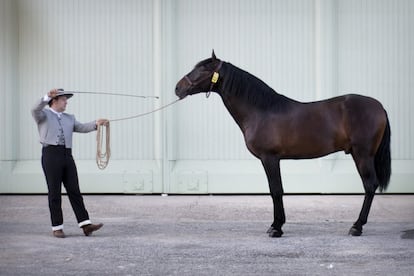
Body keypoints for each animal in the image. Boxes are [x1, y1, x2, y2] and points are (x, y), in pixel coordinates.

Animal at [175, 51, 392, 237]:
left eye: (203, 69)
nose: (178, 88)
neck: (261, 111)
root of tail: (379, 107)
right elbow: (276, 190)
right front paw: (276, 225)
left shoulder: (270, 158)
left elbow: (276, 190)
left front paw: (276, 228)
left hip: (362, 155)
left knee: (369, 185)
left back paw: (356, 227)